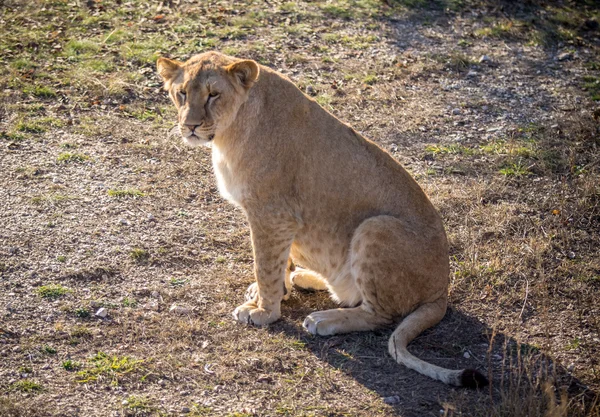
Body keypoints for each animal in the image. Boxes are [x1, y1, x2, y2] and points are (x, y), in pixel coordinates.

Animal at [158, 51, 488, 386]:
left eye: (213, 94)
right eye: (181, 93)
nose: (190, 126)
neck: (229, 133)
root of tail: (441, 291)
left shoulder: (270, 214)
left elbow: (265, 265)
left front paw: (264, 310)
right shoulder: (279, 221)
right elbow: (279, 261)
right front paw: (277, 290)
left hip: (376, 227)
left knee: (381, 315)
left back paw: (322, 319)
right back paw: (307, 278)